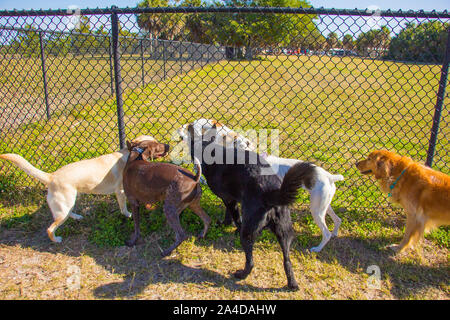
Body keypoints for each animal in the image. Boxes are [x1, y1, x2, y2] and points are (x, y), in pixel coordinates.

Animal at [0, 135, 169, 242]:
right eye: (157, 144)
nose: (167, 145)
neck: (129, 154)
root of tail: (51, 176)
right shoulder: (120, 192)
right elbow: (124, 208)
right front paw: (127, 215)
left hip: (70, 201)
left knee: (67, 214)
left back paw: (77, 217)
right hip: (64, 205)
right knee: (50, 228)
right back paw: (57, 239)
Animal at [185, 124, 314, 290]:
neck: (211, 150)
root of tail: (271, 192)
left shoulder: (229, 200)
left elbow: (235, 218)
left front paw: (229, 225)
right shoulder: (232, 199)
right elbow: (229, 214)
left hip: (248, 232)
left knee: (251, 261)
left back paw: (241, 274)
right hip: (284, 232)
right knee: (287, 260)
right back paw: (292, 284)